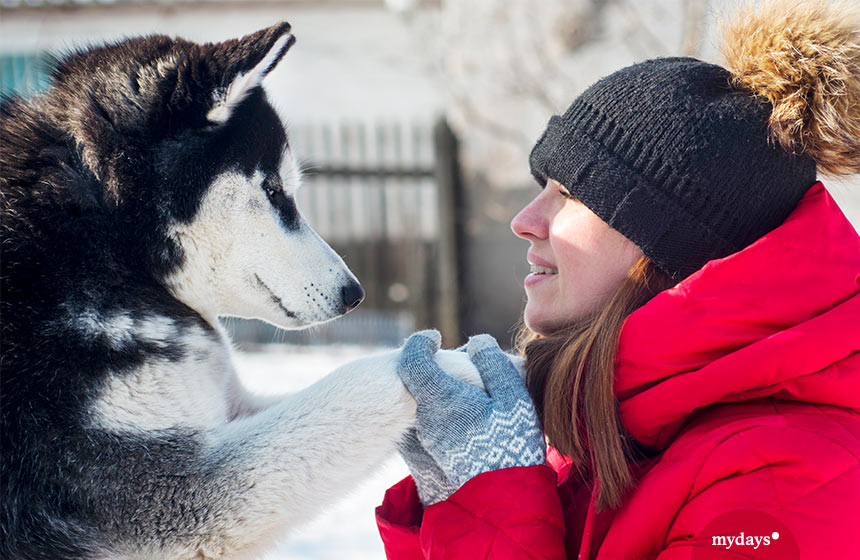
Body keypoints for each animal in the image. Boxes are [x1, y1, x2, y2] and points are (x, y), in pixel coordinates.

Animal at [1, 21, 498, 560]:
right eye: (275, 192)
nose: (355, 294)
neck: (108, 244)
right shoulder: (168, 490)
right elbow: (362, 379)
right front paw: (465, 368)